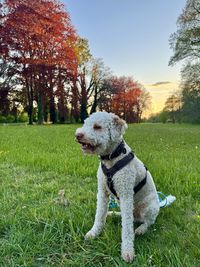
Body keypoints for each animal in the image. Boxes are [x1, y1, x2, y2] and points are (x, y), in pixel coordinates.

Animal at [75, 112, 159, 262]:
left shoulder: (126, 195)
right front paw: (94, 233)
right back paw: (112, 214)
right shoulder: (102, 193)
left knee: (148, 222)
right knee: (131, 218)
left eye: (97, 127)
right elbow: (99, 215)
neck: (112, 158)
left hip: (149, 207)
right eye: (85, 124)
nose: (78, 135)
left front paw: (127, 251)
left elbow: (127, 229)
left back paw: (141, 229)